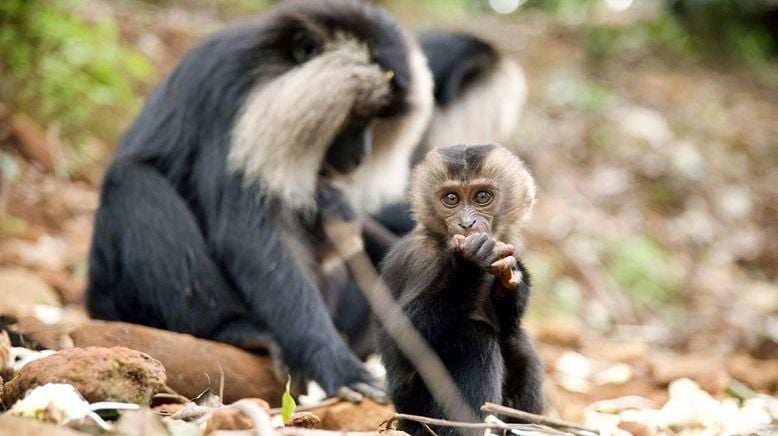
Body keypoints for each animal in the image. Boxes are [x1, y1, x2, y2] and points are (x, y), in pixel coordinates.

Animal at [89, 0, 436, 398]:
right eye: (360, 114)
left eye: (378, 120)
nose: (360, 155)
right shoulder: (234, 102)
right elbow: (252, 237)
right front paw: (333, 360)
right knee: (133, 182)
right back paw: (231, 329)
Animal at [376, 144, 540, 436]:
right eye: (451, 199)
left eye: (482, 196)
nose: (466, 224)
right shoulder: (420, 257)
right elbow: (402, 340)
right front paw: (468, 264)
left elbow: (508, 324)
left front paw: (512, 278)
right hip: (416, 415)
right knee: (474, 337)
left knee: (516, 345)